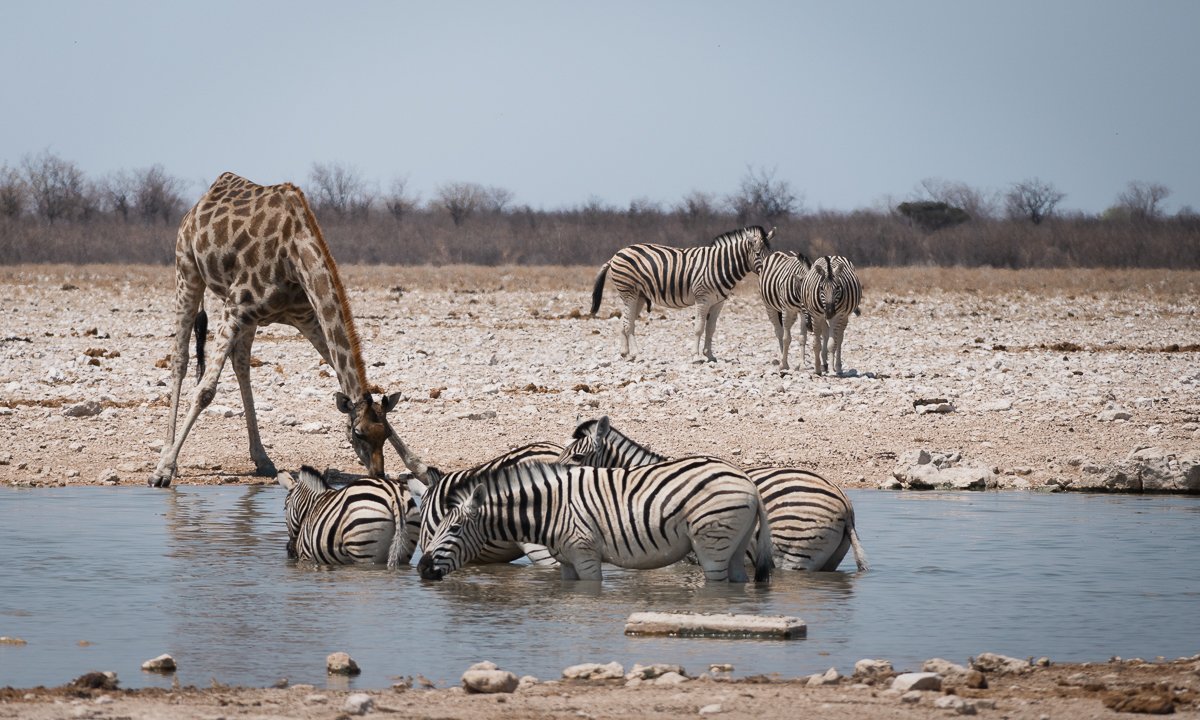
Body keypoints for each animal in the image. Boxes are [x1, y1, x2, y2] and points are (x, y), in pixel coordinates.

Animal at [150, 172, 401, 488]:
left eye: (385, 434)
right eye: (358, 433)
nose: (378, 473)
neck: (294, 255)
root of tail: (197, 206)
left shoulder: (306, 317)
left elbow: (336, 365)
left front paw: (417, 466)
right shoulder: (234, 306)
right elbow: (205, 391)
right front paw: (162, 471)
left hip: (249, 318)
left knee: (241, 364)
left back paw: (262, 459)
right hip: (187, 269)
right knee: (180, 359)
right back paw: (168, 457)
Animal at [278, 466, 419, 569]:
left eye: (285, 508)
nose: (290, 551)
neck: (312, 506)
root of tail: (394, 494)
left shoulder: (306, 556)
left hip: (363, 550)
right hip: (405, 548)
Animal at [416, 458, 772, 583]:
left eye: (454, 529)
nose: (420, 568)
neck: (551, 508)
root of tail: (748, 481)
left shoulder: (585, 556)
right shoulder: (567, 562)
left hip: (712, 544)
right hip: (735, 545)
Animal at [590, 226, 774, 362]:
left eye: (770, 253)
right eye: (758, 254)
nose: (768, 271)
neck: (719, 265)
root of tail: (616, 254)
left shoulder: (718, 302)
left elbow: (711, 329)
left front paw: (710, 355)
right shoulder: (702, 299)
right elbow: (699, 327)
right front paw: (696, 356)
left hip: (639, 296)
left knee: (624, 321)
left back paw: (625, 353)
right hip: (629, 293)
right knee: (628, 323)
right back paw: (636, 354)